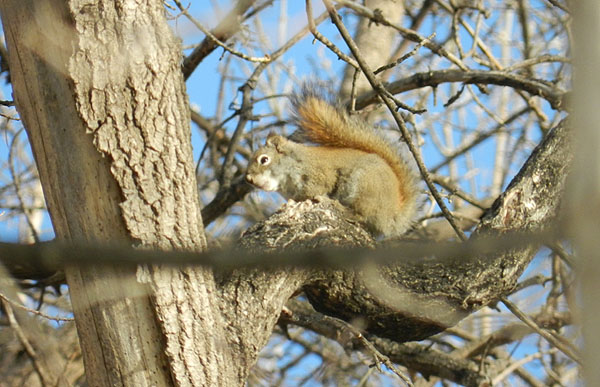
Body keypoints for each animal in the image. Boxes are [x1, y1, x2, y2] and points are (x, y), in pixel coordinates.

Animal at [244, 88, 418, 238]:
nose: (249, 179)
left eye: (264, 159)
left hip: (365, 187)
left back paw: (338, 206)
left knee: (361, 215)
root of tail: (393, 216)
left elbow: (317, 187)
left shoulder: (320, 173)